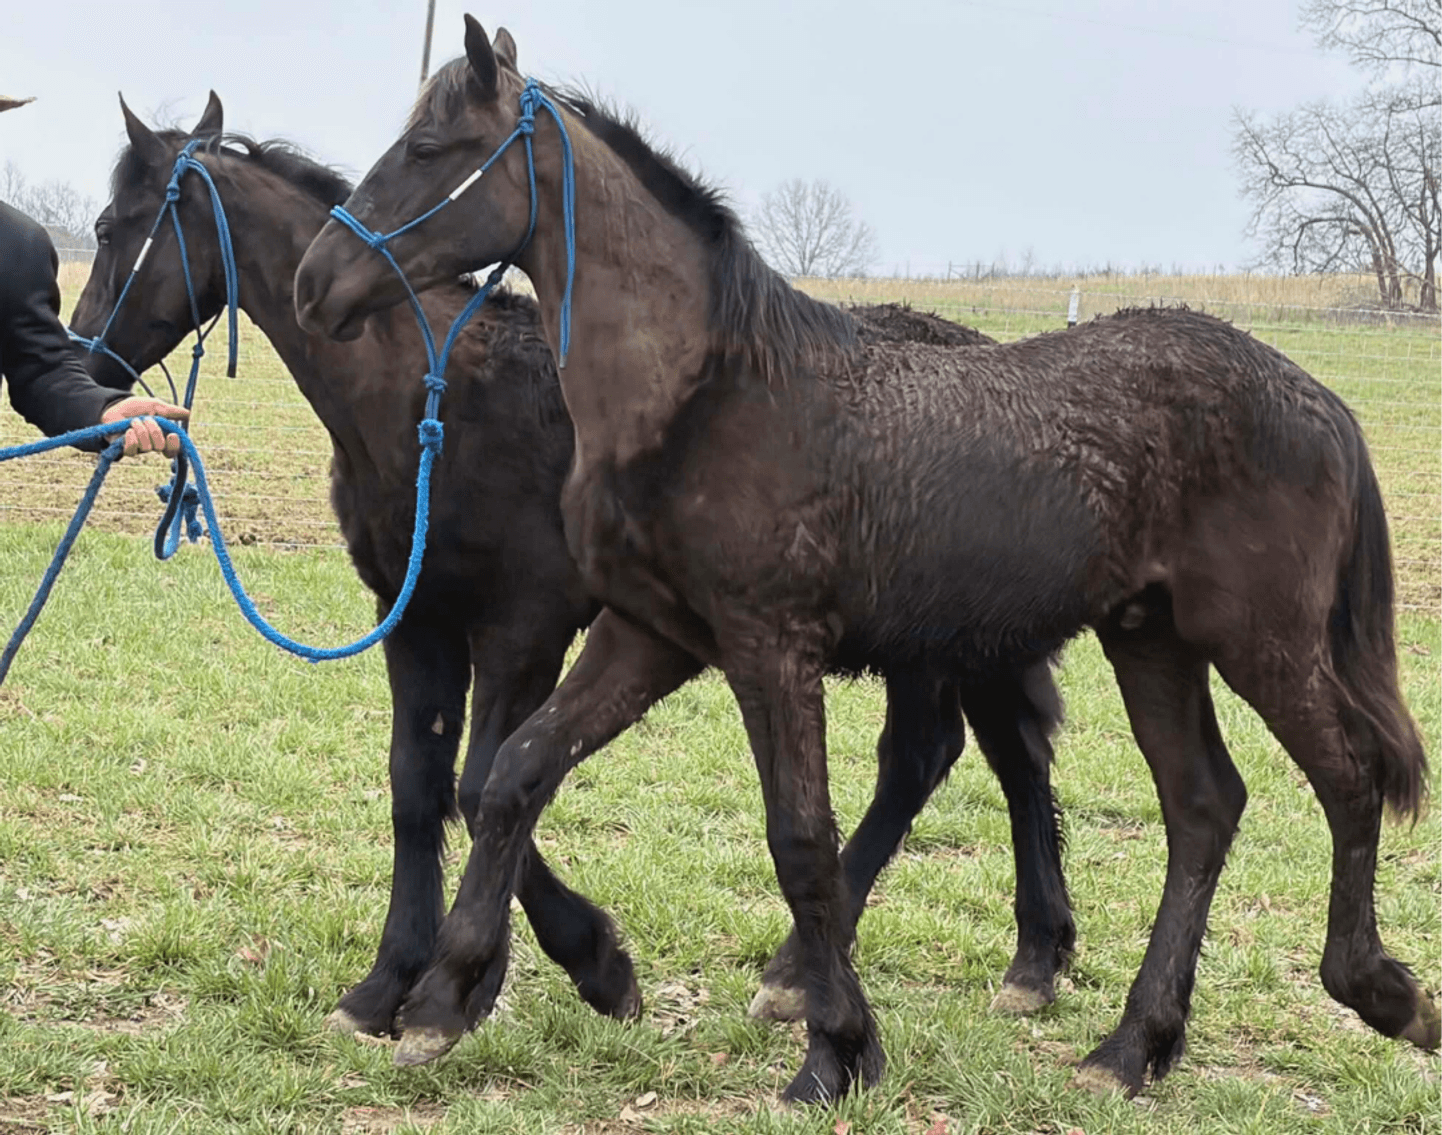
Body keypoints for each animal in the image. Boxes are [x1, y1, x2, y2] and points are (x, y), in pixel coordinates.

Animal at [67, 93, 1079, 1046]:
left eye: (112, 227)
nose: (89, 361)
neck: (437, 404)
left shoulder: (527, 622)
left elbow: (483, 781)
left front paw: (576, 965)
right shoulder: (417, 619)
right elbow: (418, 787)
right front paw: (387, 983)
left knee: (971, 757)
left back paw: (935, 965)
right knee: (958, 755)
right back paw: (975, 958)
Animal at [293, 20, 1438, 1105]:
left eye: (430, 148)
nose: (314, 284)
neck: (706, 396)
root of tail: (1316, 398)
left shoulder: (769, 646)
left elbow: (800, 841)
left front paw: (833, 1051)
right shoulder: (652, 634)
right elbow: (513, 776)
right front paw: (448, 1000)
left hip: (1258, 637)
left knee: (1346, 777)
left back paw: (1378, 991)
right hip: (1147, 638)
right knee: (1202, 806)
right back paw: (1130, 1047)